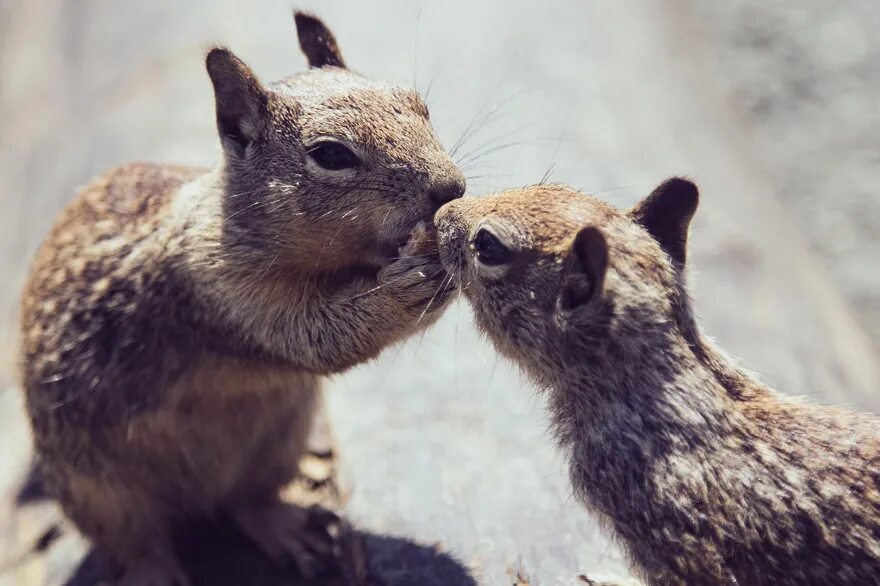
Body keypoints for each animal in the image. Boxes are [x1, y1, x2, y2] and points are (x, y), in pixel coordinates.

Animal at [17, 10, 464, 584]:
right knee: (140, 546)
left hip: (277, 442)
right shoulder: (221, 291)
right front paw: (414, 279)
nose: (452, 189)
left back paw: (288, 530)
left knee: (245, 502)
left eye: (417, 104)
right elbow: (322, 336)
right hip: (102, 496)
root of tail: (197, 499)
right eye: (331, 155)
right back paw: (157, 570)